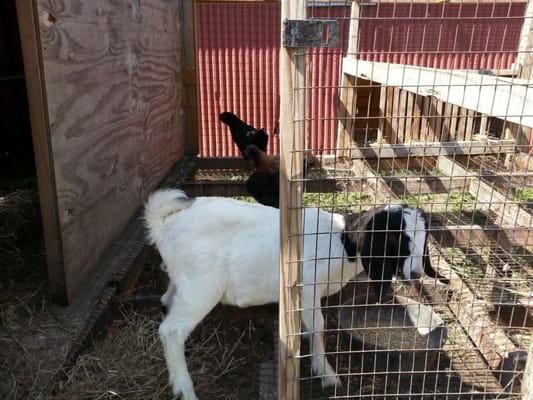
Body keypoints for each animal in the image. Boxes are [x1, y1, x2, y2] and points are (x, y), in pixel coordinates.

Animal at [143, 189, 446, 398]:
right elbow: (319, 325)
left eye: (424, 240)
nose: (415, 274)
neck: (340, 242)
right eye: (397, 237)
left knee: (165, 302)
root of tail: (164, 226)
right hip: (201, 285)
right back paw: (184, 389)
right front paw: (326, 374)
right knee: (170, 330)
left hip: (183, 282)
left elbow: (306, 326)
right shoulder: (309, 287)